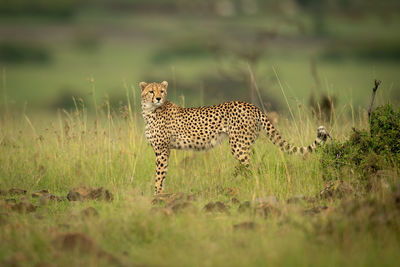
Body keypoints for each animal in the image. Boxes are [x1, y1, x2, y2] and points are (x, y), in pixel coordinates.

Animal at [141, 81, 332, 195]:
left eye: (162, 90)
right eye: (151, 91)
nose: (158, 98)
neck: (150, 111)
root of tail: (252, 105)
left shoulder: (162, 150)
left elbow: (159, 173)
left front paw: (157, 194)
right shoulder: (164, 150)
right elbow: (163, 173)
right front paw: (160, 193)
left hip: (238, 146)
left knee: (252, 169)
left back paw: (249, 188)